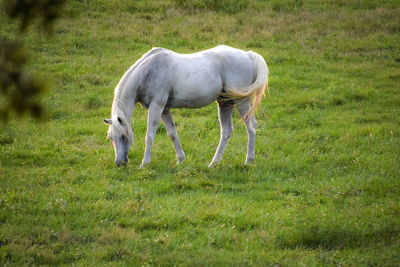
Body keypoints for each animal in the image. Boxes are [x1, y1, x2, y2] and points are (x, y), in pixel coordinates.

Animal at [103, 45, 268, 168]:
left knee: (251, 127)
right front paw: (180, 160)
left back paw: (249, 160)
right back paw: (214, 163)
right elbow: (172, 134)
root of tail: (248, 55)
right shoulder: (164, 110)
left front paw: (145, 164)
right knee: (227, 131)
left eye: (123, 137)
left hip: (242, 101)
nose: (119, 163)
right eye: (111, 137)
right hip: (225, 103)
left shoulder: (156, 106)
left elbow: (149, 135)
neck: (147, 72)